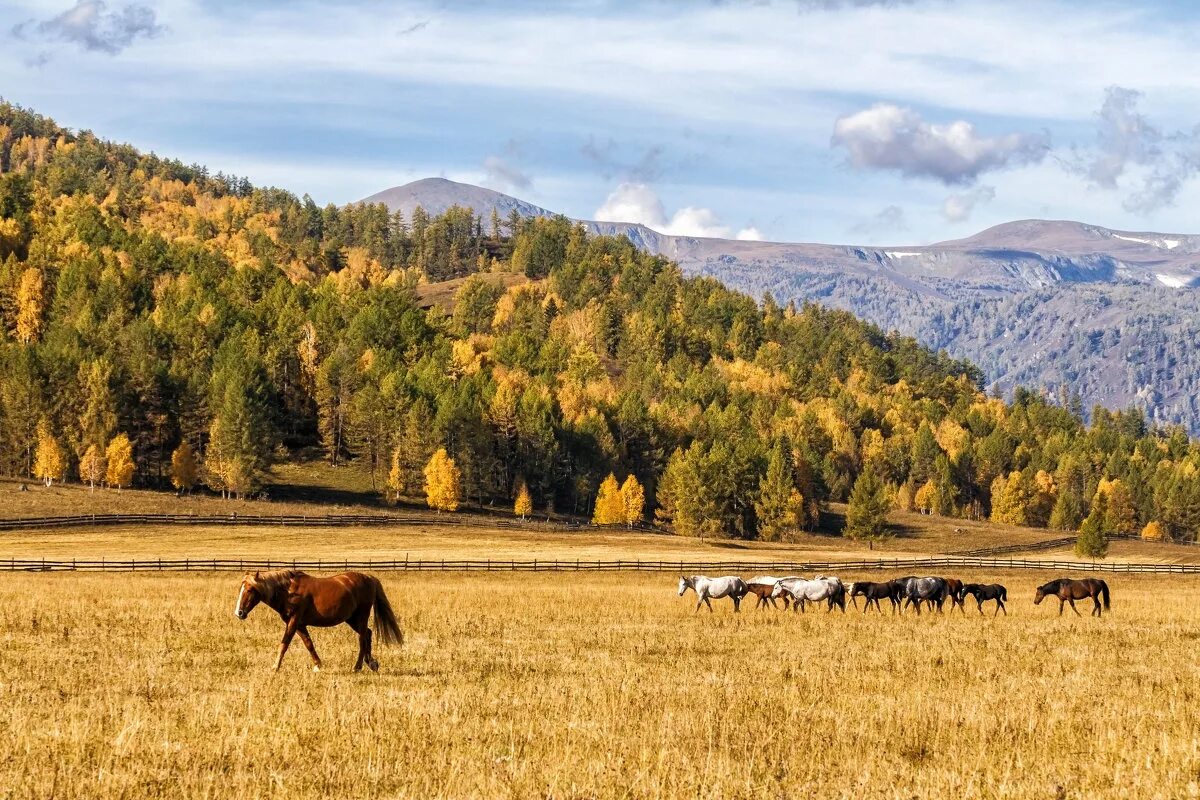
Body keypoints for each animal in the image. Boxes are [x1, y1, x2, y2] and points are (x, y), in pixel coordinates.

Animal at [234, 566, 403, 671]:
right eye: (241, 589)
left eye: (250, 589)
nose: (239, 613)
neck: (289, 591)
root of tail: (369, 578)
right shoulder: (299, 624)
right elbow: (309, 644)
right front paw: (318, 665)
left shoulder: (293, 622)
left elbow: (284, 644)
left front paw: (275, 667)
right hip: (352, 619)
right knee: (368, 634)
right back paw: (371, 663)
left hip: (361, 617)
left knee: (362, 639)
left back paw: (358, 666)